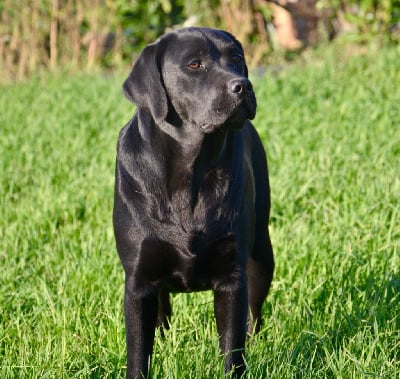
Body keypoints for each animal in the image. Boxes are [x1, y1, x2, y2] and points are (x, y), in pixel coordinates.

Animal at [114, 27, 274, 379]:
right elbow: (138, 352)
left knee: (254, 316)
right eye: (194, 64)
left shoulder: (232, 278)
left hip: (261, 254)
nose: (243, 86)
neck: (191, 168)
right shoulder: (138, 280)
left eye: (236, 57)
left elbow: (233, 348)